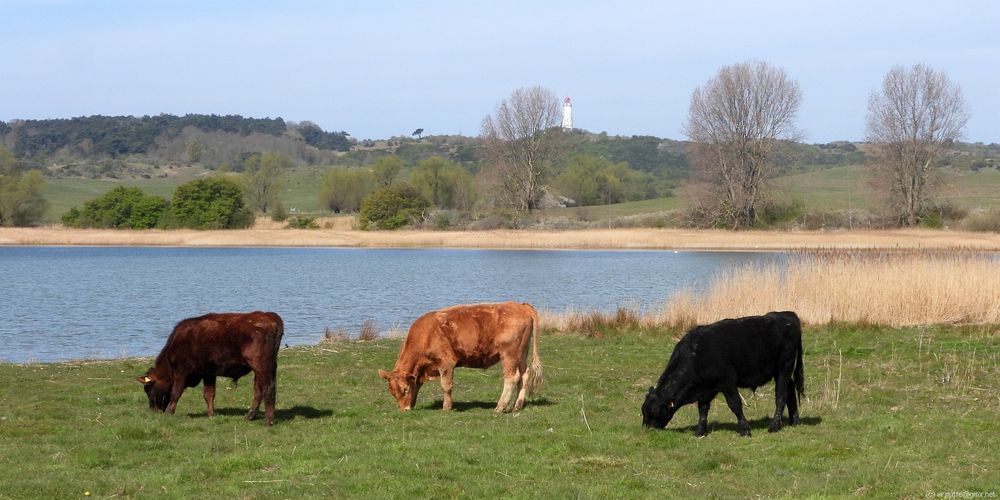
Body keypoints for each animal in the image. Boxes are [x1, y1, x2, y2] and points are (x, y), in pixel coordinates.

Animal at [133, 310, 282, 424]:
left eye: (148, 389)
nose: (153, 411)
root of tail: (270, 316)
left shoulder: (181, 372)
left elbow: (176, 393)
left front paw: (170, 413)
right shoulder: (208, 373)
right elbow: (209, 394)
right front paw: (211, 414)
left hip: (262, 366)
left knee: (268, 389)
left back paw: (268, 421)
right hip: (265, 368)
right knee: (258, 391)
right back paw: (250, 416)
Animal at [378, 302, 544, 412]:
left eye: (405, 389)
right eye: (391, 392)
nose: (404, 409)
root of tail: (520, 305)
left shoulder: (446, 363)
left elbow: (446, 386)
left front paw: (446, 407)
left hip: (509, 354)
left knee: (512, 377)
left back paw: (500, 407)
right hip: (521, 353)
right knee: (524, 374)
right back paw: (518, 405)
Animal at [640, 310, 804, 436]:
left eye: (654, 412)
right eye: (643, 411)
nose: (647, 429)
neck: (695, 354)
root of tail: (787, 315)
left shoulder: (727, 382)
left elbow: (735, 404)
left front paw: (745, 429)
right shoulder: (706, 388)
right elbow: (703, 409)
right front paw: (700, 431)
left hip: (784, 368)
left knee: (781, 395)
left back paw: (774, 426)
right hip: (781, 372)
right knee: (790, 389)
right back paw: (794, 420)